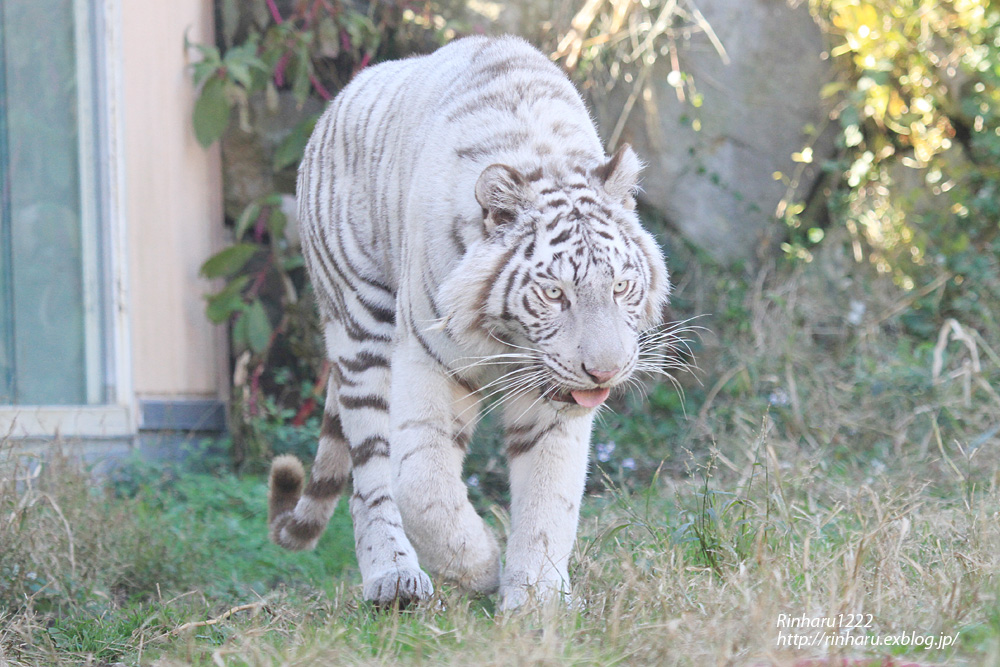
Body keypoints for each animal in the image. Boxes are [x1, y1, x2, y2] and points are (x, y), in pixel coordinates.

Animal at [270, 35, 668, 612]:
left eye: (620, 287)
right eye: (555, 293)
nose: (605, 373)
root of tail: (338, 99)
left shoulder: (553, 399)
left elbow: (550, 494)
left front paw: (536, 600)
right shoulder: (426, 363)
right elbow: (422, 484)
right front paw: (481, 569)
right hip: (361, 330)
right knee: (371, 475)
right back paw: (393, 578)